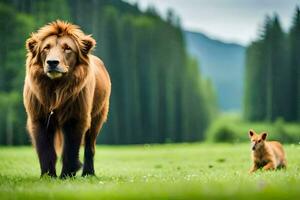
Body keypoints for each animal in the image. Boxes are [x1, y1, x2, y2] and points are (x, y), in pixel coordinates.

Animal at [23, 20, 110, 178]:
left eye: (67, 48)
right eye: (46, 48)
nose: (52, 62)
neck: (55, 88)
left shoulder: (76, 115)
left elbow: (71, 148)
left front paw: (67, 174)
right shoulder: (39, 116)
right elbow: (45, 148)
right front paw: (48, 175)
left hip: (98, 114)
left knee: (90, 146)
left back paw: (88, 173)